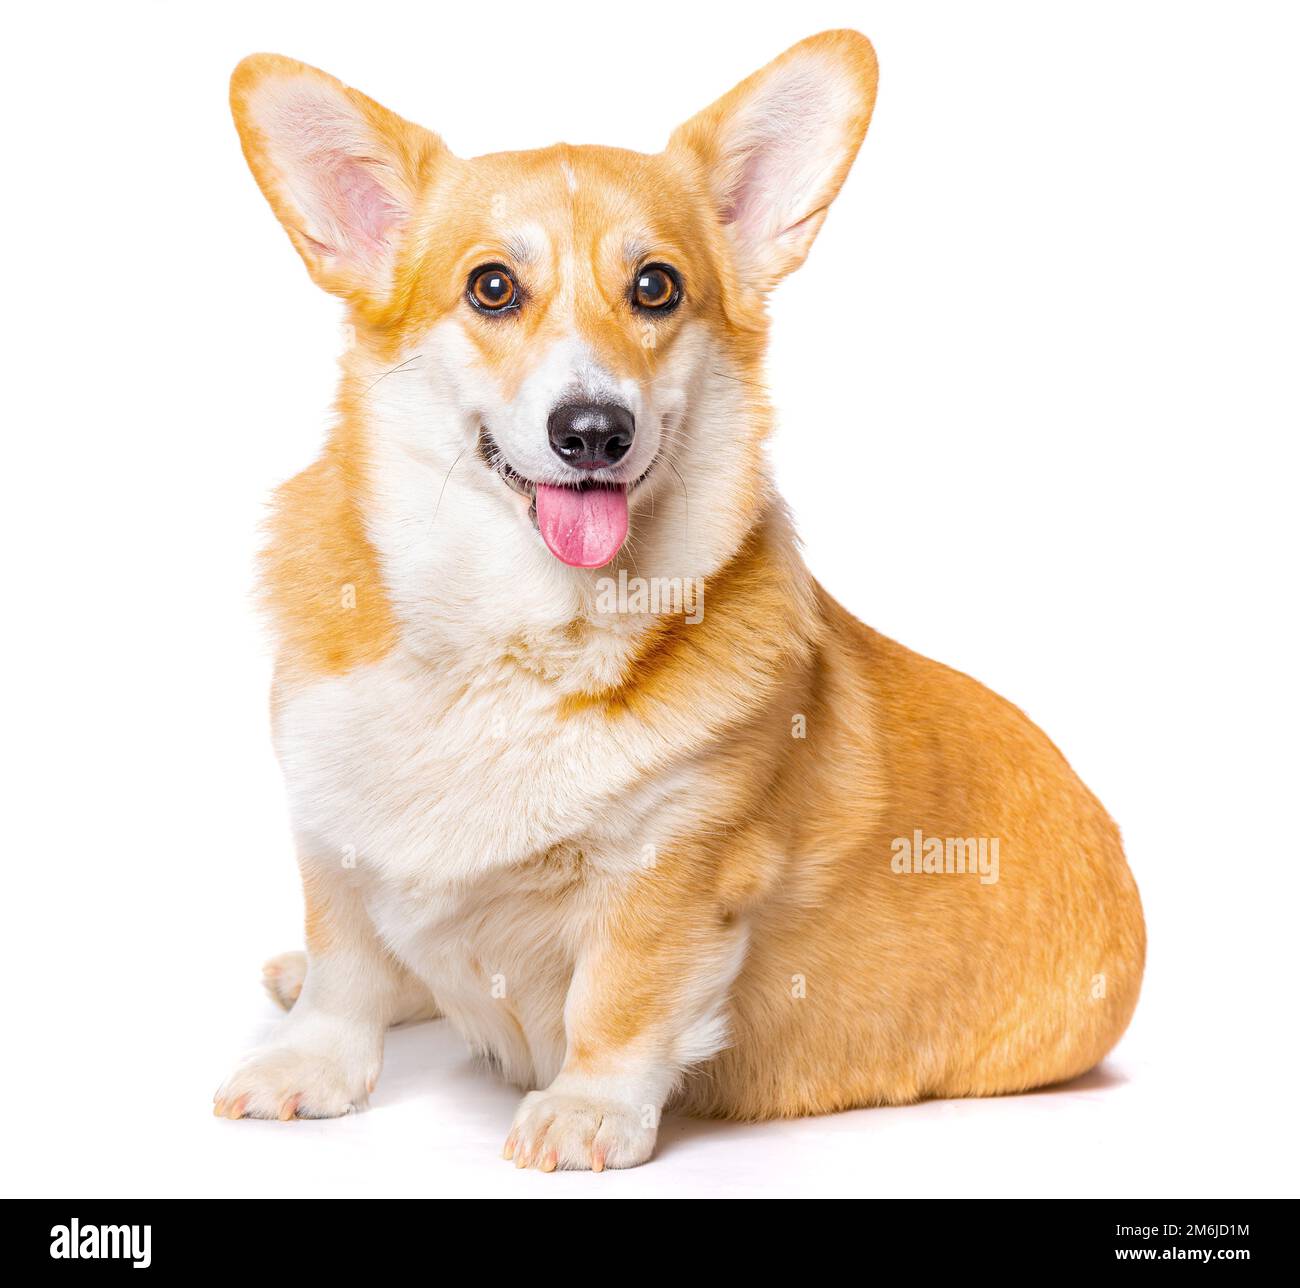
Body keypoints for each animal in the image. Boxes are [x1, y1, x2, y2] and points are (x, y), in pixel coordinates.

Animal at [215, 32, 1149, 1180]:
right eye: (491, 287)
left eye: (656, 286)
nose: (592, 430)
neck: (511, 636)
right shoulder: (332, 822)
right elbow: (346, 956)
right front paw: (311, 1061)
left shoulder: (673, 870)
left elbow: (617, 1000)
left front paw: (586, 1111)